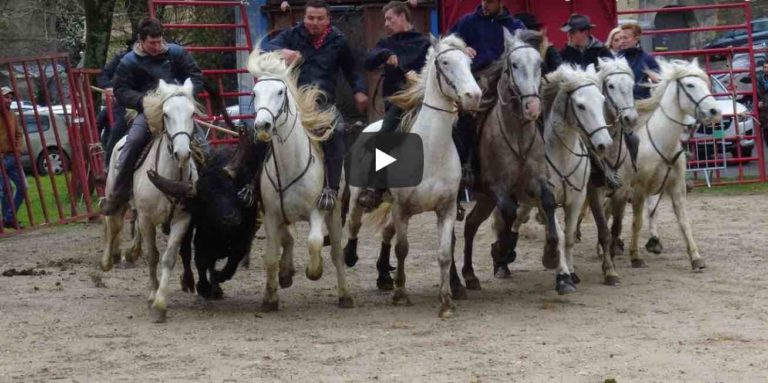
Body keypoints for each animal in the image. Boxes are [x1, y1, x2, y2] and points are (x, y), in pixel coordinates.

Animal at [101, 79, 198, 322]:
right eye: (166, 114)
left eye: (192, 113)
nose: (183, 153)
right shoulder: (146, 219)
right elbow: (153, 256)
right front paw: (153, 295)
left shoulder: (182, 220)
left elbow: (168, 258)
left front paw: (161, 301)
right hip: (116, 198)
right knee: (112, 224)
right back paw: (108, 260)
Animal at [248, 48, 352, 312]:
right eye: (255, 92)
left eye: (280, 91)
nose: (262, 125)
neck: (289, 165)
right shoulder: (271, 215)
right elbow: (270, 256)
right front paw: (270, 297)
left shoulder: (316, 212)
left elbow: (314, 242)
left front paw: (314, 271)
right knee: (289, 239)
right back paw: (286, 273)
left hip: (335, 213)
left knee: (337, 254)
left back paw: (345, 295)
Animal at [344, 36, 476, 318]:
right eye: (445, 63)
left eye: (469, 62)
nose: (474, 96)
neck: (431, 150)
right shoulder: (402, 207)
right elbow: (402, 249)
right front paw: (401, 294)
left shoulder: (446, 209)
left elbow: (444, 253)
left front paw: (446, 302)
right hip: (359, 195)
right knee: (354, 224)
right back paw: (350, 256)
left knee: (386, 231)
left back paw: (384, 275)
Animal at [510, 65, 612, 294]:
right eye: (580, 105)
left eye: (602, 100)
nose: (604, 144)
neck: (563, 157)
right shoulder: (546, 201)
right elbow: (560, 235)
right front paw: (563, 277)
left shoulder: (576, 200)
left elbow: (570, 237)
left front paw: (571, 272)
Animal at [632, 59, 720, 270]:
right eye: (690, 85)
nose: (715, 111)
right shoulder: (638, 188)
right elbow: (637, 221)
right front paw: (635, 256)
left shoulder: (675, 187)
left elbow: (683, 221)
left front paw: (696, 258)